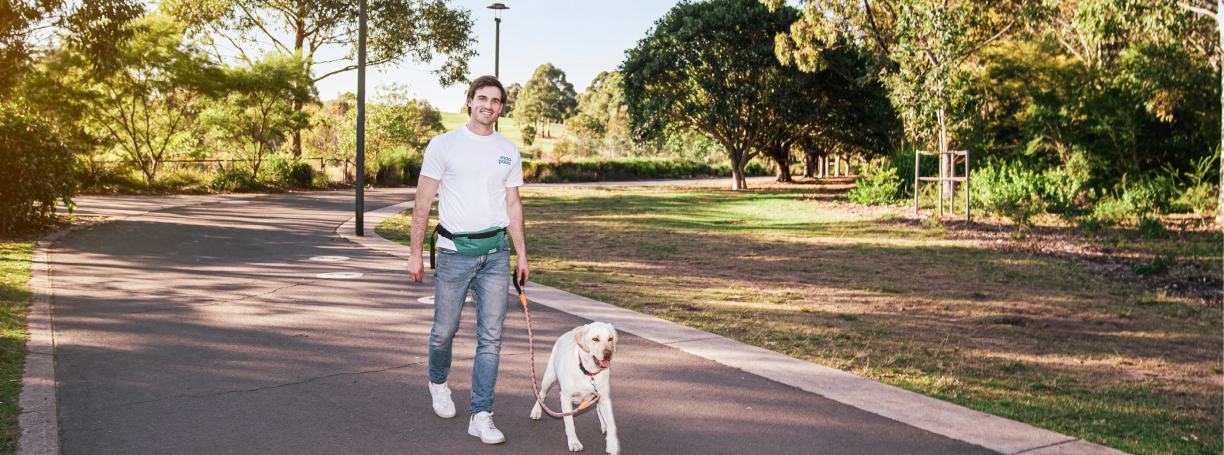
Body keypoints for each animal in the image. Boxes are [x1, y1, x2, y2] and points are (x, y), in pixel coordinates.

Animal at [528, 322, 616, 452]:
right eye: (595, 339)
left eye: (610, 339)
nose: (608, 353)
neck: (589, 372)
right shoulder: (565, 398)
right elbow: (570, 423)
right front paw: (574, 443)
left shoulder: (604, 398)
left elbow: (610, 422)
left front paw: (612, 444)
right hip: (549, 377)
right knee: (542, 394)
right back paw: (536, 411)